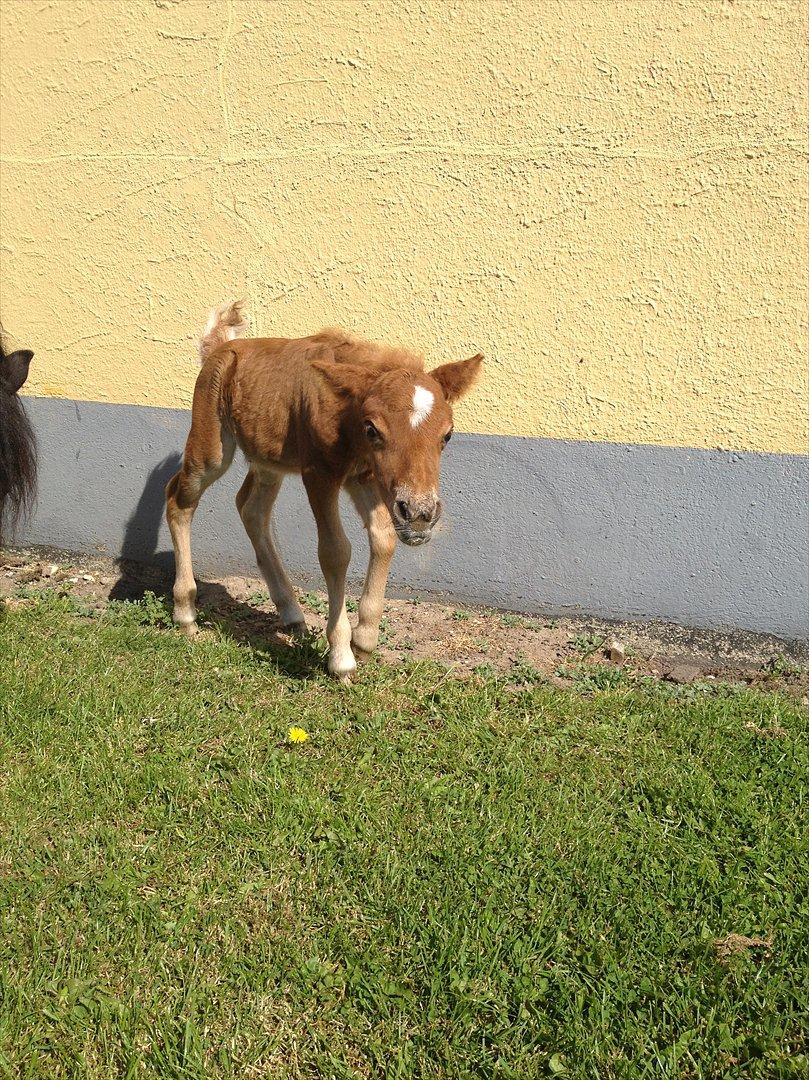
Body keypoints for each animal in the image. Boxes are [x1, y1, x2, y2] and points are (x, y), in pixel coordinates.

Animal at [164, 300, 479, 678]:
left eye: (447, 434)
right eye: (373, 429)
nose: (419, 515)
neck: (347, 422)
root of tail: (217, 348)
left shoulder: (364, 478)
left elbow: (384, 537)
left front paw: (364, 639)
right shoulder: (319, 475)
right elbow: (334, 551)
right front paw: (341, 656)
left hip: (268, 458)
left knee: (251, 507)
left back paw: (292, 614)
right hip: (211, 446)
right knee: (179, 498)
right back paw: (185, 613)